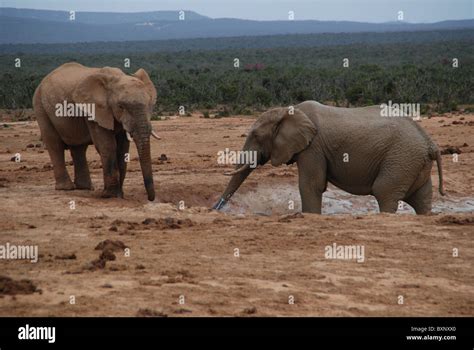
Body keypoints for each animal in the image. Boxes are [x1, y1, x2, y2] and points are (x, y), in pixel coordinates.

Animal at [33, 61, 160, 201]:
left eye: (149, 104)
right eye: (121, 106)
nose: (150, 198)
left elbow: (122, 149)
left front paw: (119, 195)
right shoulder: (94, 110)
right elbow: (107, 146)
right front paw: (109, 195)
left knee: (78, 148)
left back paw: (85, 188)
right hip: (40, 107)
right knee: (54, 144)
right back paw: (66, 188)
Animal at [214, 98, 444, 213]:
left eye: (256, 135)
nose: (215, 208)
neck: (289, 111)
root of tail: (430, 143)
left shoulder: (313, 148)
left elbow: (311, 185)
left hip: (401, 158)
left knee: (384, 192)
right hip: (412, 161)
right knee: (422, 199)